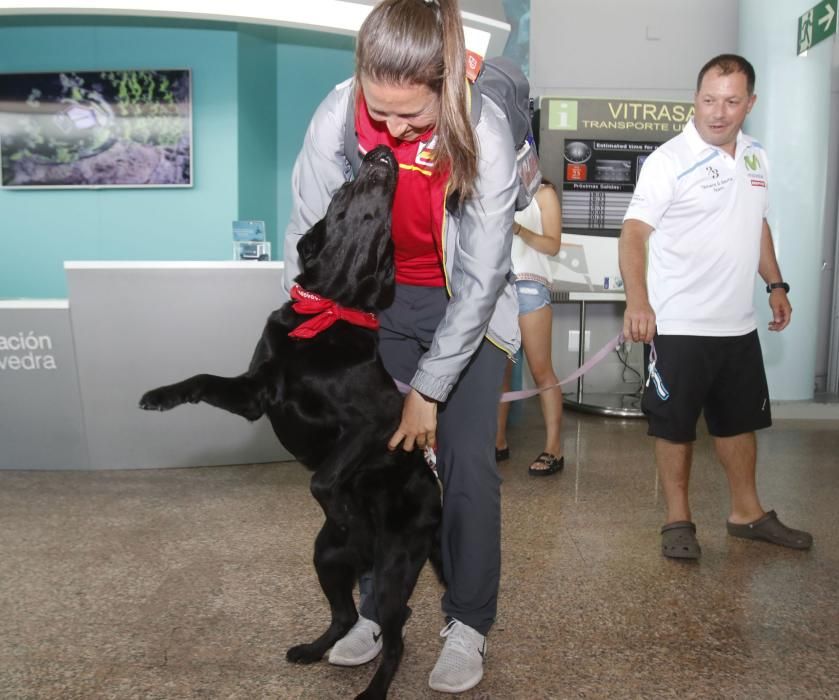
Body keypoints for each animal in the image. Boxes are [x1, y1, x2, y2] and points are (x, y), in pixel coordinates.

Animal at [139, 145, 446, 696]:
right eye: (342, 187)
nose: (381, 151)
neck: (329, 312)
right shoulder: (253, 395)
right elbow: (202, 378)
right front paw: (160, 395)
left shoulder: (372, 425)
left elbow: (323, 479)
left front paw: (343, 510)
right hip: (325, 558)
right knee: (348, 615)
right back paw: (311, 649)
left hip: (393, 569)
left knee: (396, 637)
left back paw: (374, 688)